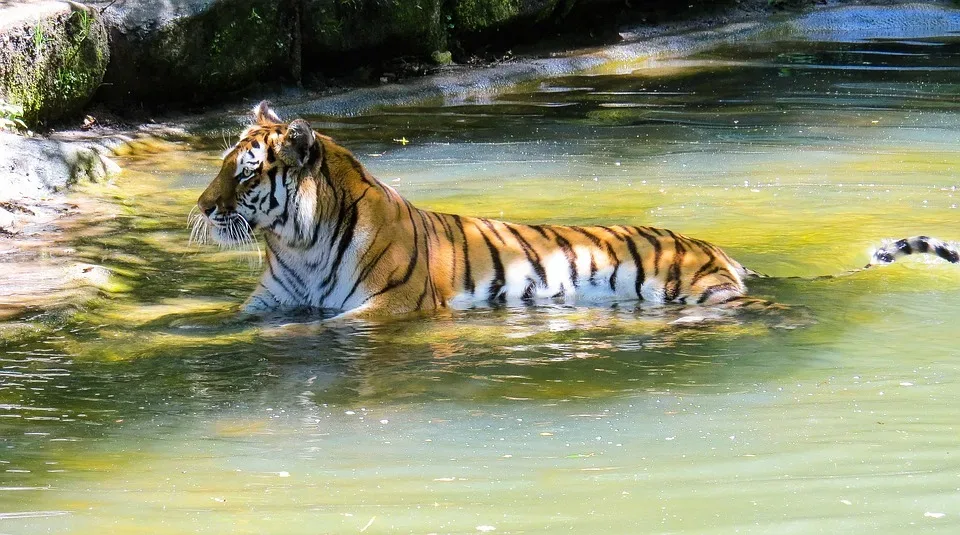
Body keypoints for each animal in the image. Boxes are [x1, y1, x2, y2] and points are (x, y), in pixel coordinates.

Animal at [195, 100, 960, 318]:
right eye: (222, 166)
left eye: (244, 172)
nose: (200, 206)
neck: (298, 243)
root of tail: (722, 249)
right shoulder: (268, 304)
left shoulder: (383, 310)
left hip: (699, 293)